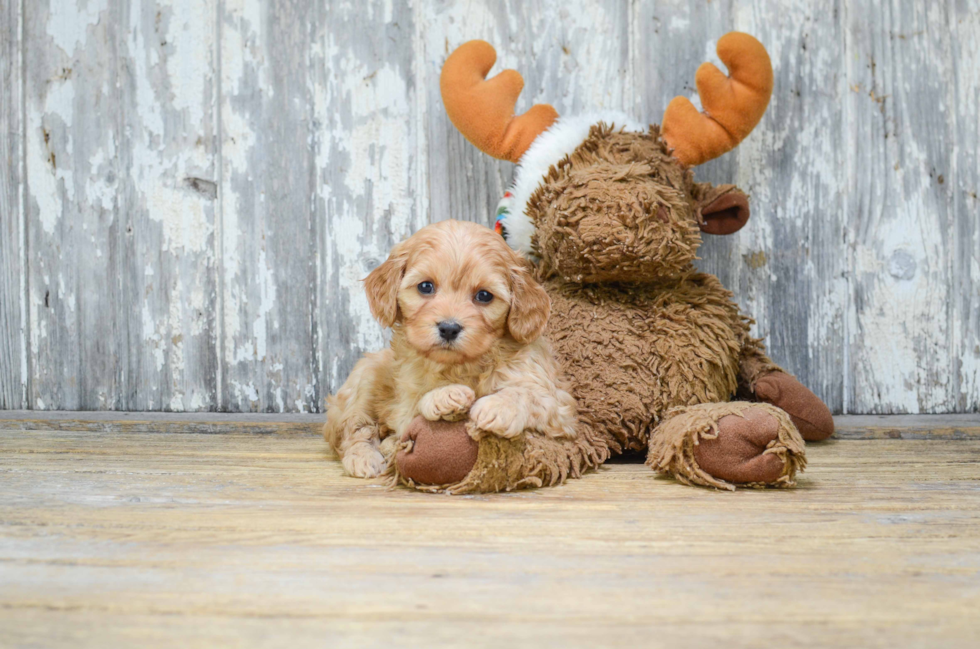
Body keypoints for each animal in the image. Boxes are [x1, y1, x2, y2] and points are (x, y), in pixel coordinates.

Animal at [326, 218, 580, 476]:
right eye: (425, 286)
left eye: (484, 295)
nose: (449, 328)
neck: (462, 365)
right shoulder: (404, 406)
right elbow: (417, 405)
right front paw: (445, 395)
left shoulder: (561, 408)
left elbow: (530, 395)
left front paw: (499, 406)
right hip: (365, 378)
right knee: (354, 428)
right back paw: (365, 457)